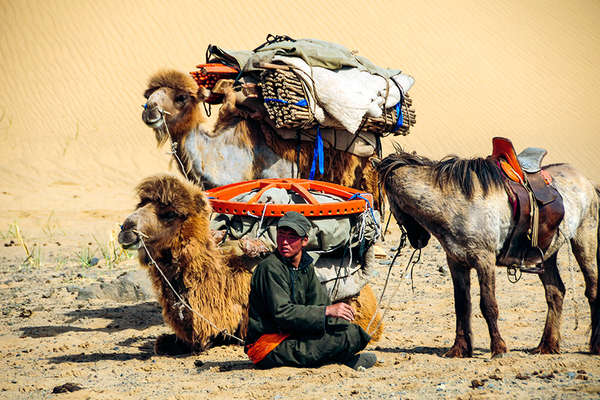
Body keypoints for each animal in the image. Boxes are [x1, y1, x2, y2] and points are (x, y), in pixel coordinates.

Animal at [372, 146, 596, 356]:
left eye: (389, 202)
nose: (419, 240)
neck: (456, 204)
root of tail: (585, 181)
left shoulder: (484, 260)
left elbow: (488, 305)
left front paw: (498, 348)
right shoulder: (456, 263)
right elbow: (462, 305)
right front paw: (459, 349)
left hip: (584, 241)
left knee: (591, 289)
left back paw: (595, 345)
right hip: (546, 254)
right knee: (555, 293)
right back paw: (547, 345)